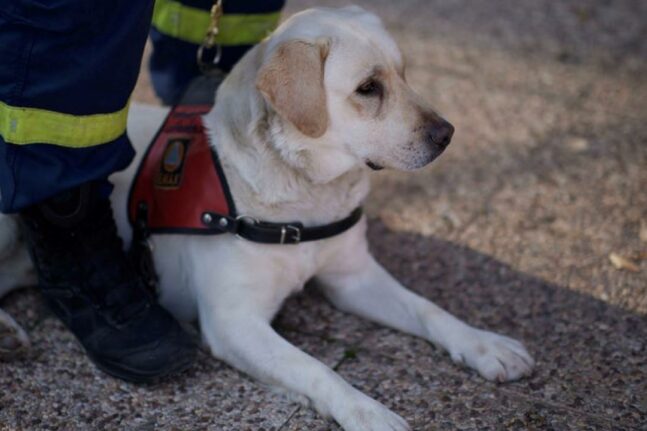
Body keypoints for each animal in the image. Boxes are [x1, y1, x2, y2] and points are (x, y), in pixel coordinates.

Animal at [1, 6, 532, 431]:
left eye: (405, 75)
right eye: (368, 88)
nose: (447, 134)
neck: (307, 196)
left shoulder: (353, 277)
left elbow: (429, 309)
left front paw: (484, 344)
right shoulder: (235, 323)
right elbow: (318, 368)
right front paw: (368, 411)